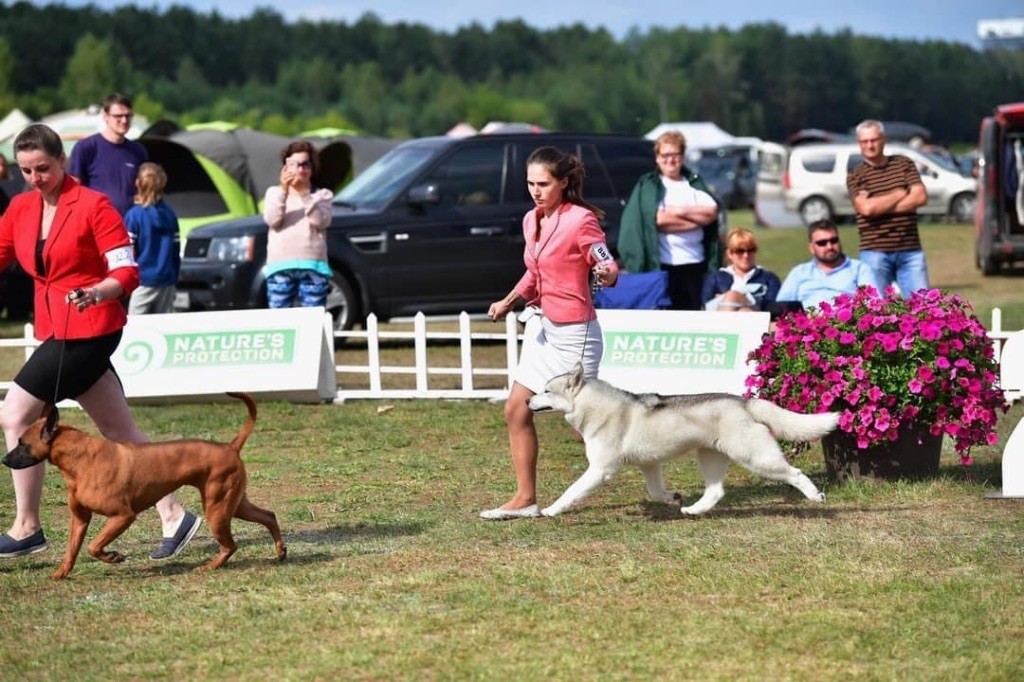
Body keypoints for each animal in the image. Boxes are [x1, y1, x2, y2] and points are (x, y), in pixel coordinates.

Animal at [4, 391, 286, 577]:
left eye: (21, 443)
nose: (4, 459)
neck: (80, 459)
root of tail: (230, 446)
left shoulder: (122, 516)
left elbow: (94, 546)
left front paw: (112, 557)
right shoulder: (80, 519)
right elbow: (72, 550)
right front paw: (62, 573)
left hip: (217, 510)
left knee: (230, 545)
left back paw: (211, 566)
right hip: (234, 505)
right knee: (268, 516)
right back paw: (281, 551)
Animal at [528, 360, 839, 516]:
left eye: (546, 391)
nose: (528, 401)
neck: (594, 408)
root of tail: (745, 402)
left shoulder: (600, 470)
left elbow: (571, 491)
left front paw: (551, 510)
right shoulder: (649, 464)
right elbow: (655, 491)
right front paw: (672, 497)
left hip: (757, 458)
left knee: (795, 473)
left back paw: (815, 496)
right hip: (710, 457)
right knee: (715, 491)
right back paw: (694, 510)